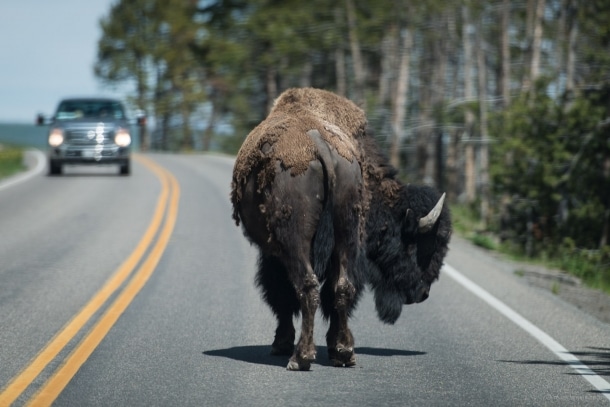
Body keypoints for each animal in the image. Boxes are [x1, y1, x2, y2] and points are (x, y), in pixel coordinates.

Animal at [230, 87, 448, 372]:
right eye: (421, 246)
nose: (423, 294)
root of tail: (321, 147)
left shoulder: (272, 255)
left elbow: (281, 294)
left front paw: (281, 344)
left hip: (295, 244)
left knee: (308, 286)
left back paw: (300, 357)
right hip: (345, 233)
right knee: (341, 288)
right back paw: (344, 354)